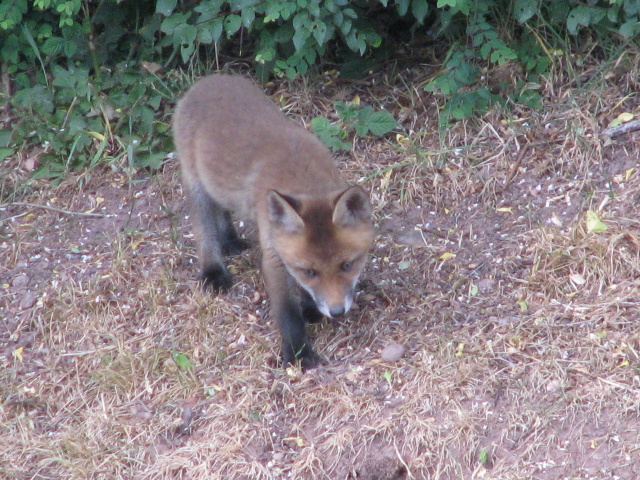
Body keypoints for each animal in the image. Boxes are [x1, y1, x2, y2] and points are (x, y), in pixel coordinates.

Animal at [172, 74, 378, 368]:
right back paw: (213, 270)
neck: (304, 180)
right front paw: (299, 353)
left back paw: (230, 240)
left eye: (347, 265)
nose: (337, 311)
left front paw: (310, 308)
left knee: (224, 209)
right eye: (310, 272)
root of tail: (209, 79)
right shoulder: (273, 253)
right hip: (195, 183)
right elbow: (287, 312)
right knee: (204, 229)